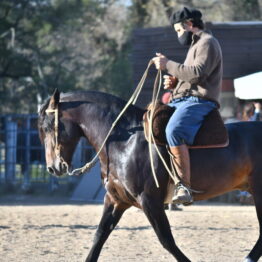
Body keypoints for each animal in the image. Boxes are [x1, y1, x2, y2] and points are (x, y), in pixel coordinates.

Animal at [37, 89, 262, 260]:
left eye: (47, 127)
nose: (53, 168)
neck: (125, 142)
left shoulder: (150, 201)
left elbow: (167, 240)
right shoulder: (116, 200)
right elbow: (99, 236)